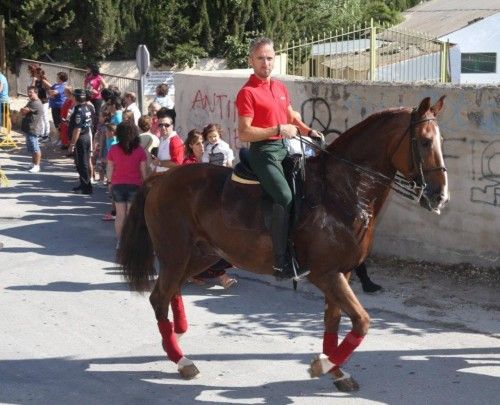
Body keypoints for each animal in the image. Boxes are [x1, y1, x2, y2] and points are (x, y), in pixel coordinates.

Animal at [117, 96, 450, 390]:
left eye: (440, 140)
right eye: (424, 141)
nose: (441, 196)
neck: (343, 191)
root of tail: (160, 180)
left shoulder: (341, 273)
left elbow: (334, 322)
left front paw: (336, 370)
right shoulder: (325, 274)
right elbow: (362, 322)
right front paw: (323, 365)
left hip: (201, 255)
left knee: (171, 291)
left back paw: (179, 333)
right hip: (176, 255)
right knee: (159, 297)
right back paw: (181, 360)